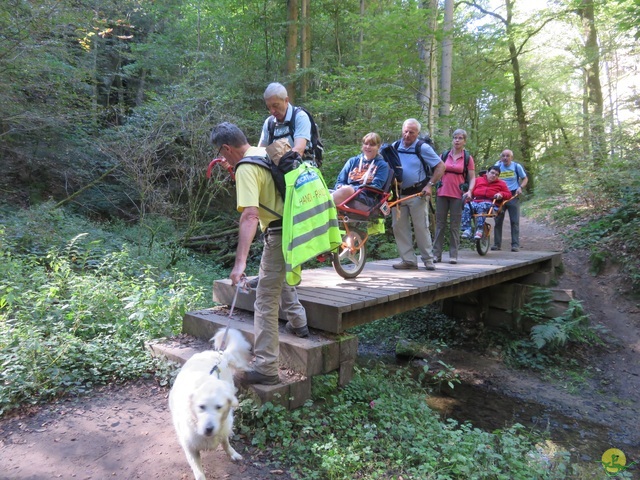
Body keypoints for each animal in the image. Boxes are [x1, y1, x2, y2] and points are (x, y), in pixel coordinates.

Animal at [169, 328, 251, 480]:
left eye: (219, 407)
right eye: (201, 407)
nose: (209, 428)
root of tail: (219, 354)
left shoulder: (222, 429)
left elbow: (225, 442)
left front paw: (233, 453)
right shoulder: (190, 447)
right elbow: (198, 471)